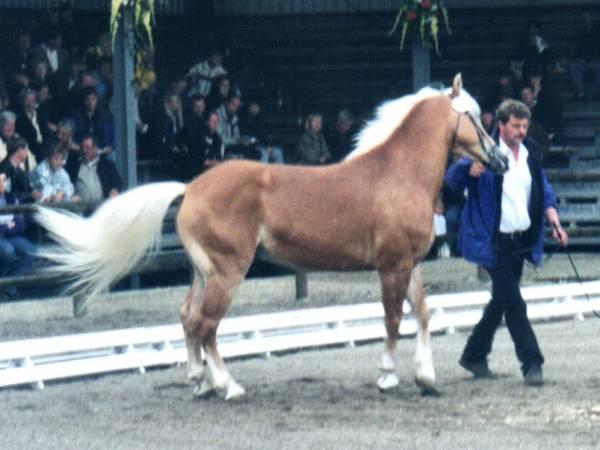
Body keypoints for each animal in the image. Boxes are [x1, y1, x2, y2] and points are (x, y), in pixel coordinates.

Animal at [36, 74, 506, 400]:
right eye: (475, 116)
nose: (500, 159)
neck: (398, 172)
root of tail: (191, 187)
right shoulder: (392, 266)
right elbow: (393, 320)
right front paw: (388, 377)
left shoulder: (409, 264)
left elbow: (423, 314)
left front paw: (426, 379)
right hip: (228, 273)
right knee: (206, 325)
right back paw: (228, 387)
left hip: (203, 273)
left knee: (188, 317)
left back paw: (200, 383)